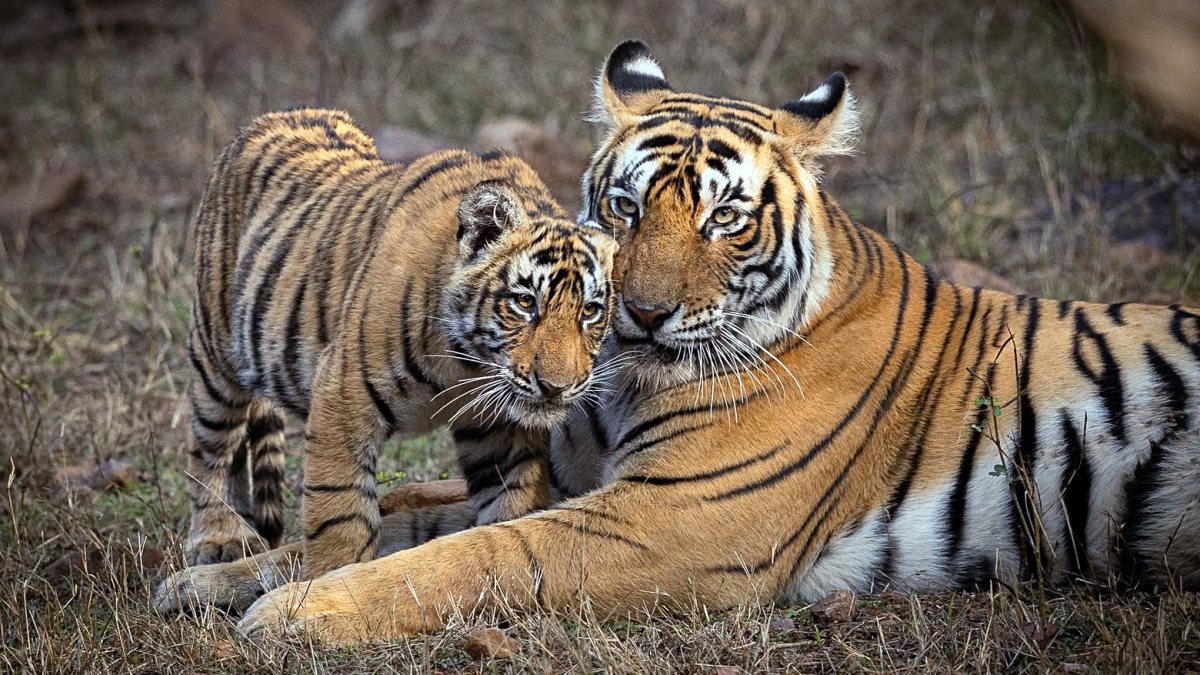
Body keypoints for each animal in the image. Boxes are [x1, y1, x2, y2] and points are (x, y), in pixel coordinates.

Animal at [179, 108, 617, 581]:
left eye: (590, 311)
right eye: (524, 303)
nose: (556, 388)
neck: (466, 363)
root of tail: (267, 118)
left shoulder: (499, 429)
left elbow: (509, 504)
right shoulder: (342, 395)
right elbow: (338, 512)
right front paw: (331, 580)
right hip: (215, 354)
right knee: (211, 447)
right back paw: (219, 538)